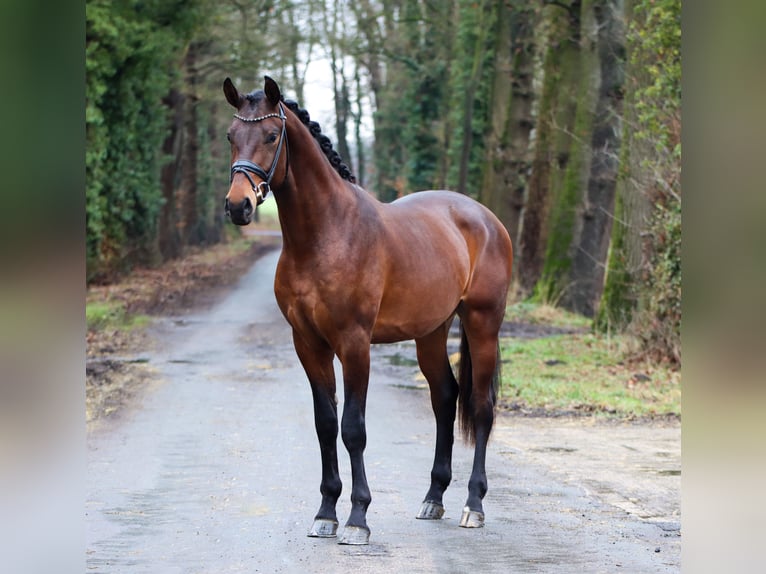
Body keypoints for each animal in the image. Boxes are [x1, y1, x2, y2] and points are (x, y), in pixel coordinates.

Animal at [223, 76, 513, 545]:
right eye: (231, 136)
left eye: (270, 135)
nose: (238, 206)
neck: (327, 234)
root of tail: (486, 218)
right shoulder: (308, 344)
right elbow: (325, 424)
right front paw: (326, 513)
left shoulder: (354, 343)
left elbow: (353, 428)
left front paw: (358, 517)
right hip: (430, 332)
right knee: (444, 397)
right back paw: (433, 498)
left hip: (482, 323)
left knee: (481, 406)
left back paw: (473, 505)